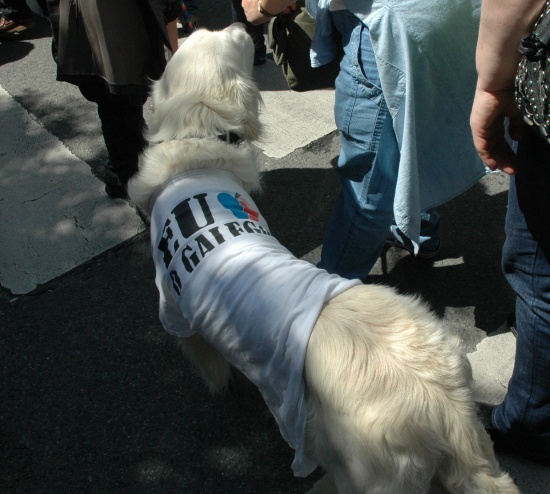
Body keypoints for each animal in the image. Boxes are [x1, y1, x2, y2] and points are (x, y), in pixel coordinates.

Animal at [129, 24, 520, 494]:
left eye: (227, 38)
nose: (242, 25)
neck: (195, 141)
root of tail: (441, 399)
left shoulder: (173, 306)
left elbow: (205, 359)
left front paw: (217, 385)